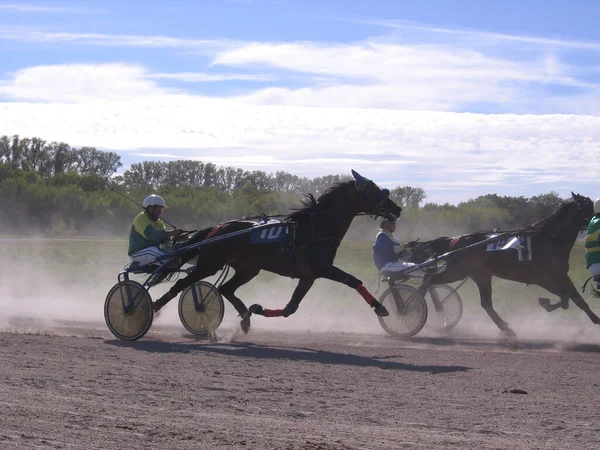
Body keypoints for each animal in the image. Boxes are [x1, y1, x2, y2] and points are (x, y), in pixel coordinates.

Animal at [152, 171, 400, 332]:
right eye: (373, 190)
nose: (397, 208)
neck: (316, 228)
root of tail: (217, 228)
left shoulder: (308, 276)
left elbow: (291, 308)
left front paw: (257, 308)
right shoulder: (323, 268)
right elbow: (353, 280)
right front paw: (380, 307)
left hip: (248, 268)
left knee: (225, 288)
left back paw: (245, 317)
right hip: (209, 264)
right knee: (182, 284)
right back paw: (152, 308)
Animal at [406, 193, 596, 338]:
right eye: (588, 206)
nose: (597, 218)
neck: (549, 238)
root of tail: (455, 240)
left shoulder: (559, 275)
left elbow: (575, 298)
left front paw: (596, 319)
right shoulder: (545, 278)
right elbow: (566, 298)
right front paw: (546, 303)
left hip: (480, 275)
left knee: (485, 303)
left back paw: (506, 327)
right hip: (458, 271)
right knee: (429, 279)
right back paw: (410, 307)